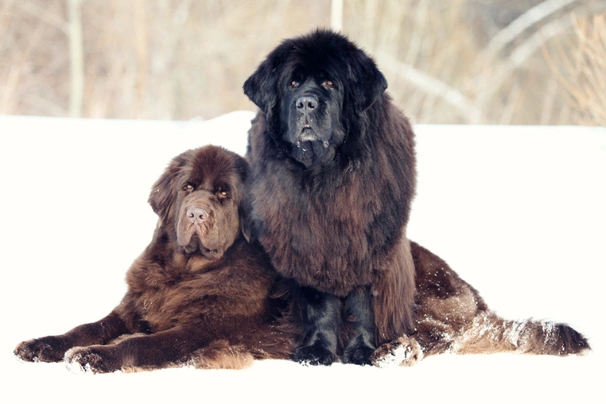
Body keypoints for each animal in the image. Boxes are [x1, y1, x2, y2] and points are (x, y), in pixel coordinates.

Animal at [11, 144, 292, 372]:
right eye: (187, 187)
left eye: (224, 194)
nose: (196, 214)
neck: (184, 272)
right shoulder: (132, 308)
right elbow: (87, 327)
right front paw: (41, 345)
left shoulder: (201, 330)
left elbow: (142, 343)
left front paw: (92, 356)